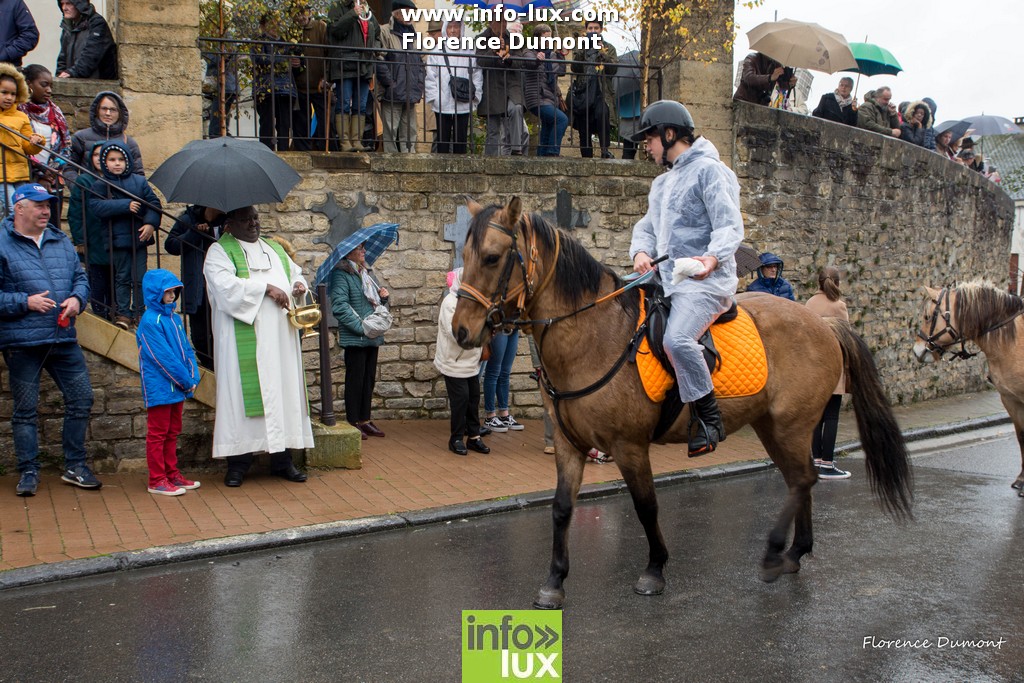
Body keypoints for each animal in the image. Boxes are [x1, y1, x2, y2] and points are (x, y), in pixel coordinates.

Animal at [452, 197, 917, 610]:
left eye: (492, 258)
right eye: (465, 255)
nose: (461, 331)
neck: (594, 335)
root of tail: (822, 323)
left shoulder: (629, 446)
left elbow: (646, 506)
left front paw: (655, 569)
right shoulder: (569, 444)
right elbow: (563, 508)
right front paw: (554, 581)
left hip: (790, 425)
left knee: (802, 479)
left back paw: (775, 552)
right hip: (774, 426)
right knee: (799, 480)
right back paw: (795, 552)